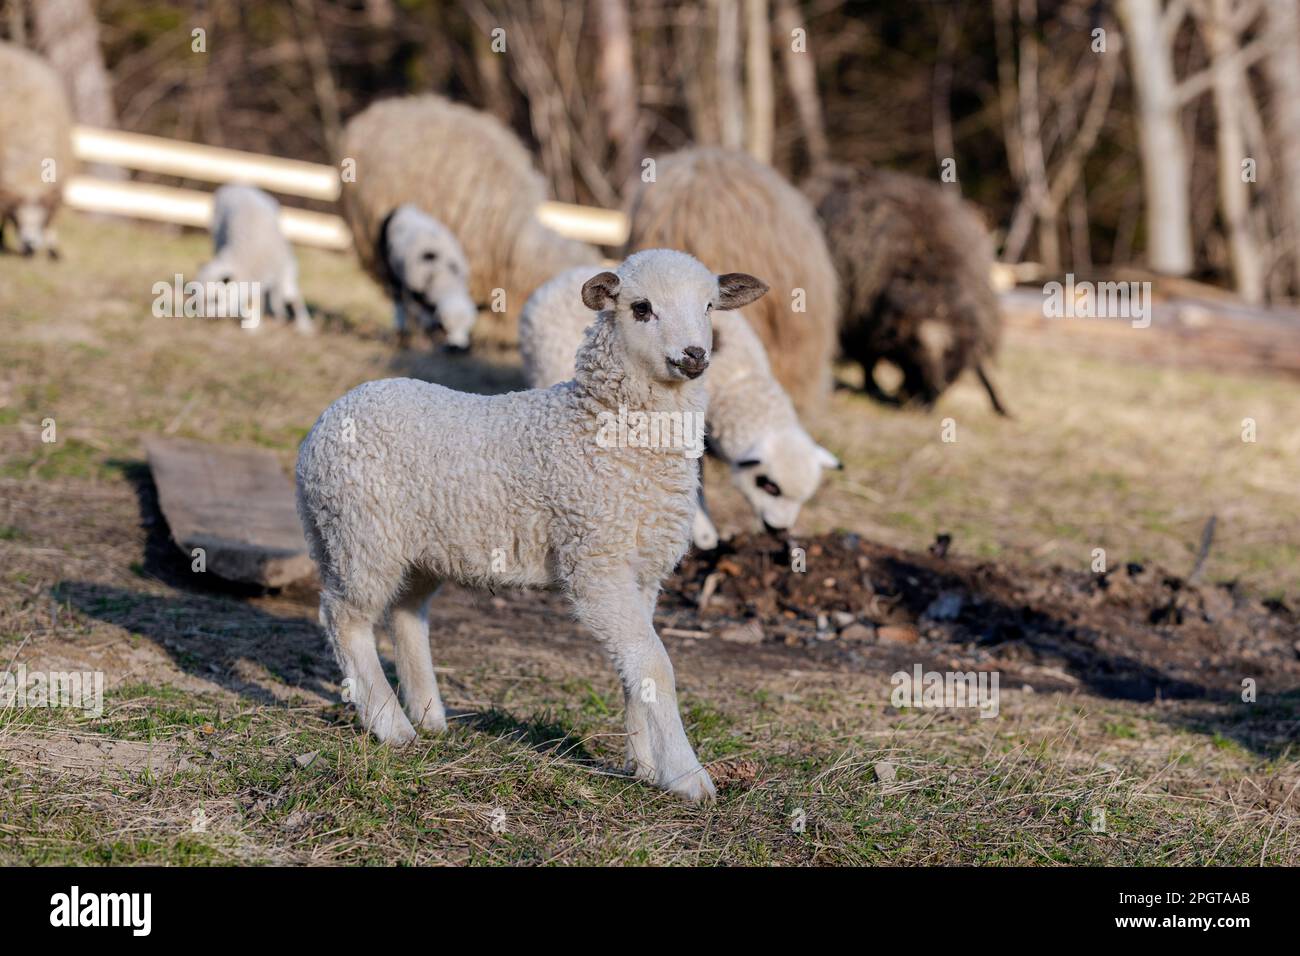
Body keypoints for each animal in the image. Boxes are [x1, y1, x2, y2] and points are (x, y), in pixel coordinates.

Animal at [195, 184, 312, 333]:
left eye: (215, 299)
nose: (201, 316)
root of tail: (236, 185)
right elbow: (255, 299)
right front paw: (253, 324)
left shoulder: (285, 269)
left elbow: (292, 297)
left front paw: (305, 326)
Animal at [295, 249, 769, 801]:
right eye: (641, 308)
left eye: (710, 306)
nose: (694, 355)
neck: (604, 427)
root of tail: (326, 419)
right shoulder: (594, 562)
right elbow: (655, 663)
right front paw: (687, 776)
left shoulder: (642, 572)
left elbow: (635, 666)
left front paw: (644, 766)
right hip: (359, 534)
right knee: (344, 618)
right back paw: (391, 726)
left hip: (417, 547)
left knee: (406, 613)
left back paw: (430, 716)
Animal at [377, 204, 478, 351]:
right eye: (445, 327)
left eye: (469, 327)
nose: (457, 348)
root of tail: (403, 207)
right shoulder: (413, 290)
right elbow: (422, 316)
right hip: (389, 265)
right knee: (397, 298)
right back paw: (401, 330)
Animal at [801, 162, 1009, 415]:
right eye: (915, 348)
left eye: (950, 353)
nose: (926, 396)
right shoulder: (860, 318)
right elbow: (867, 358)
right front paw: (875, 389)